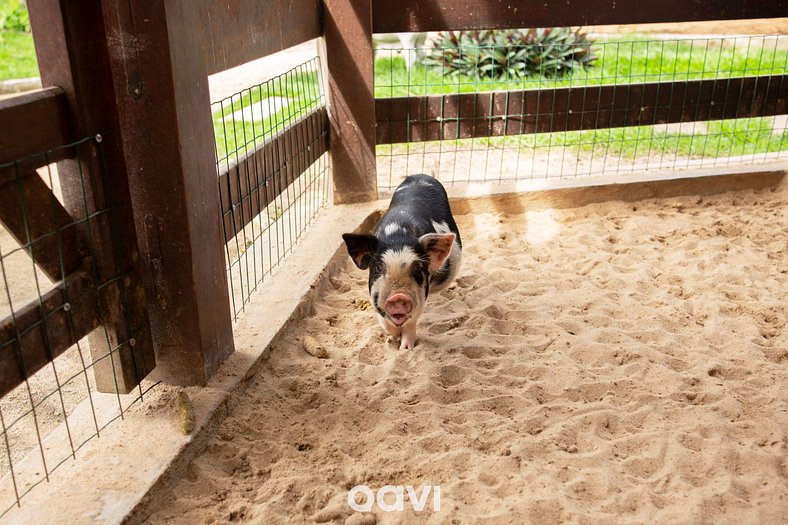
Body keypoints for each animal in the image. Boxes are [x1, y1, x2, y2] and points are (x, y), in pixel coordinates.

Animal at [340, 174, 462, 350]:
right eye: (378, 267)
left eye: (418, 268)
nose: (398, 296)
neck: (398, 236)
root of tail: (420, 175)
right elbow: (385, 321)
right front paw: (394, 337)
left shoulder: (421, 297)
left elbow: (411, 322)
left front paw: (406, 348)